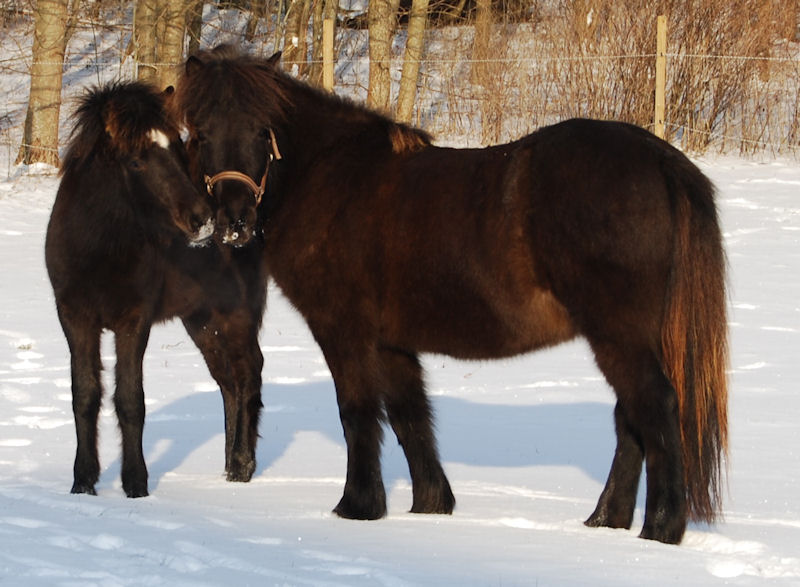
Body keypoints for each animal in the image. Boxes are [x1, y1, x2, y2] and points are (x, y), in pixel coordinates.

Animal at [47, 80, 268, 498]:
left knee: (248, 374)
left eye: (177, 148)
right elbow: (84, 396)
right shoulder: (74, 319)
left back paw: (242, 466)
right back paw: (229, 465)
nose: (203, 219)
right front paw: (83, 483)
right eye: (136, 161)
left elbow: (130, 400)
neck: (99, 249)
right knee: (228, 383)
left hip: (236, 315)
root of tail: (244, 221)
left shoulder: (134, 321)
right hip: (201, 322)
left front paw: (136, 484)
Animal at [172, 47, 728, 548]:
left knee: (655, 407)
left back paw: (660, 530)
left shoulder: (343, 331)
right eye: (201, 134)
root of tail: (659, 159)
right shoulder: (392, 342)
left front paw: (357, 506)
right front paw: (431, 505)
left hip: (619, 336)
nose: (235, 222)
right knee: (630, 419)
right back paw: (605, 521)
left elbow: (357, 412)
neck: (330, 178)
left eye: (261, 132)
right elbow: (409, 416)